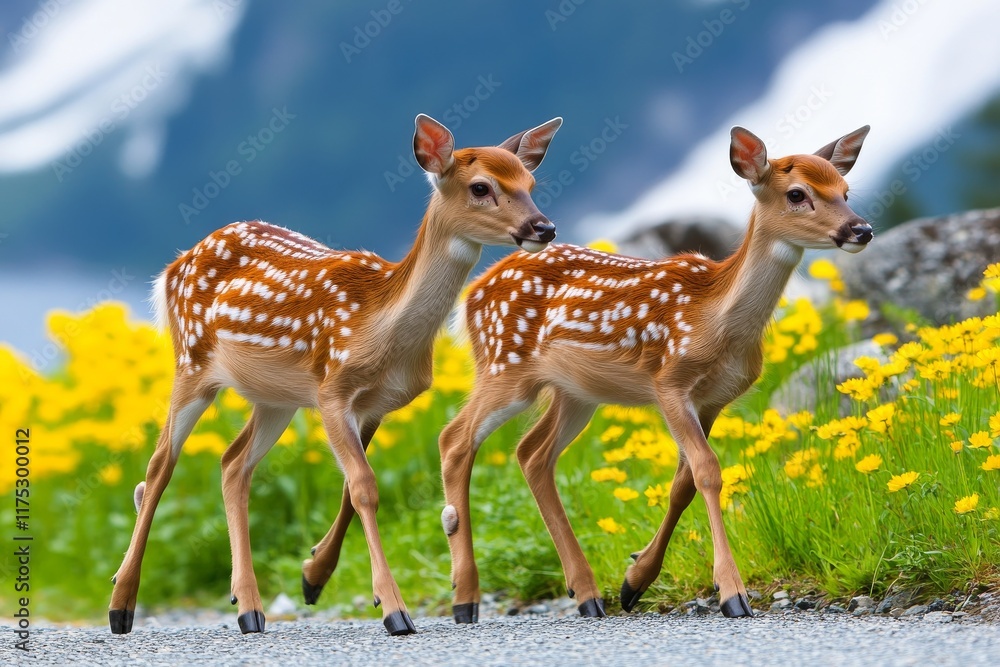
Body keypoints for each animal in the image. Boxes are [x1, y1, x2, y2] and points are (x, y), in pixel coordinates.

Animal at [108, 113, 562, 637]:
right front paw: (394, 610)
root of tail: (174, 266)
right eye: (482, 187)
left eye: (530, 184)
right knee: (159, 465)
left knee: (233, 464)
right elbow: (364, 486)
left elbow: (352, 488)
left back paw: (248, 608)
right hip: (192, 361)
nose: (544, 227)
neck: (381, 327)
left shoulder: (375, 404)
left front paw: (313, 575)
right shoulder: (332, 391)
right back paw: (121, 605)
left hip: (275, 399)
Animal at [437, 125, 872, 623]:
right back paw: (465, 598)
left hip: (575, 393)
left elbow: (683, 483)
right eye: (797, 194)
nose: (861, 229)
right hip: (504, 364)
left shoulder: (714, 398)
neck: (715, 319)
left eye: (845, 191)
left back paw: (587, 594)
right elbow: (708, 471)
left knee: (532, 453)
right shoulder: (669, 382)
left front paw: (634, 580)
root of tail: (469, 295)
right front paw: (732, 593)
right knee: (455, 440)